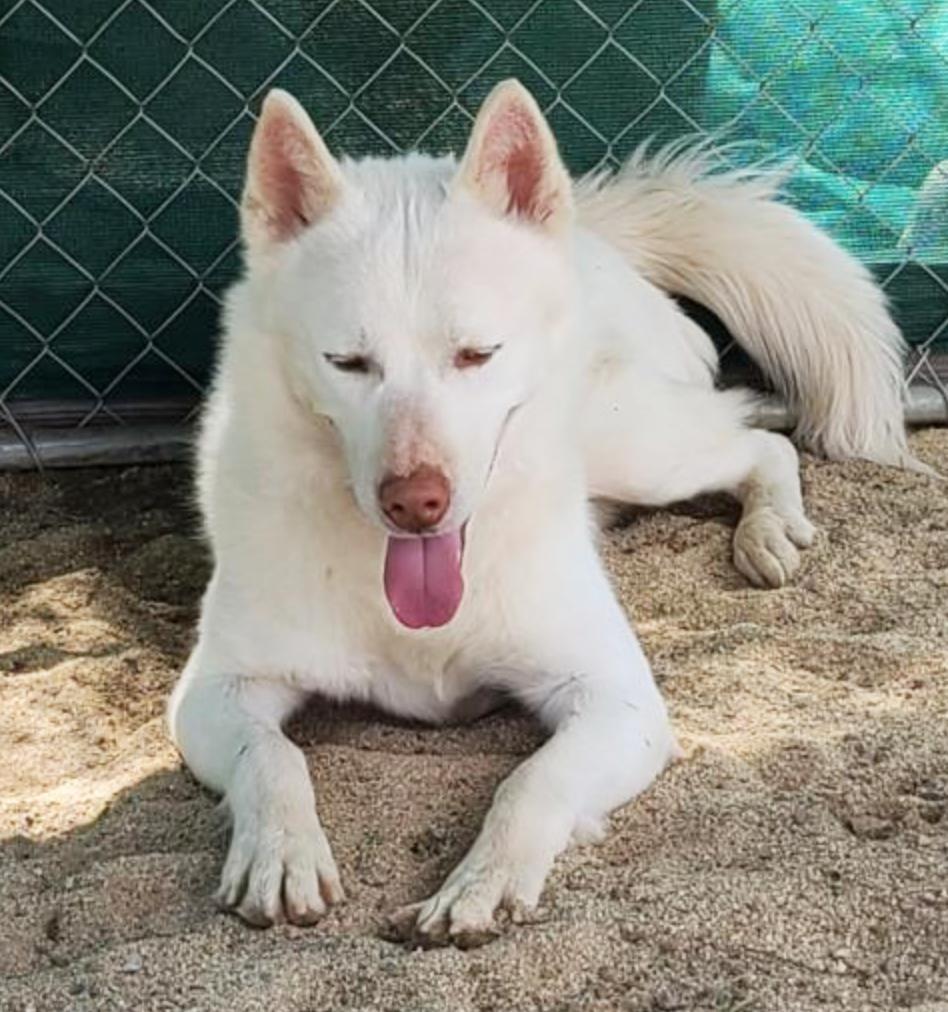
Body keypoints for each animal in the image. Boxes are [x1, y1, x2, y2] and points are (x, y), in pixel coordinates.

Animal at [167, 80, 910, 947]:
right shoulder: (215, 693)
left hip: (631, 441)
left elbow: (532, 780)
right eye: (347, 363)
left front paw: (484, 882)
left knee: (761, 441)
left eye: (476, 354)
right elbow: (273, 757)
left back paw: (769, 530)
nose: (415, 502)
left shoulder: (617, 699)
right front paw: (279, 852)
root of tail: (594, 236)